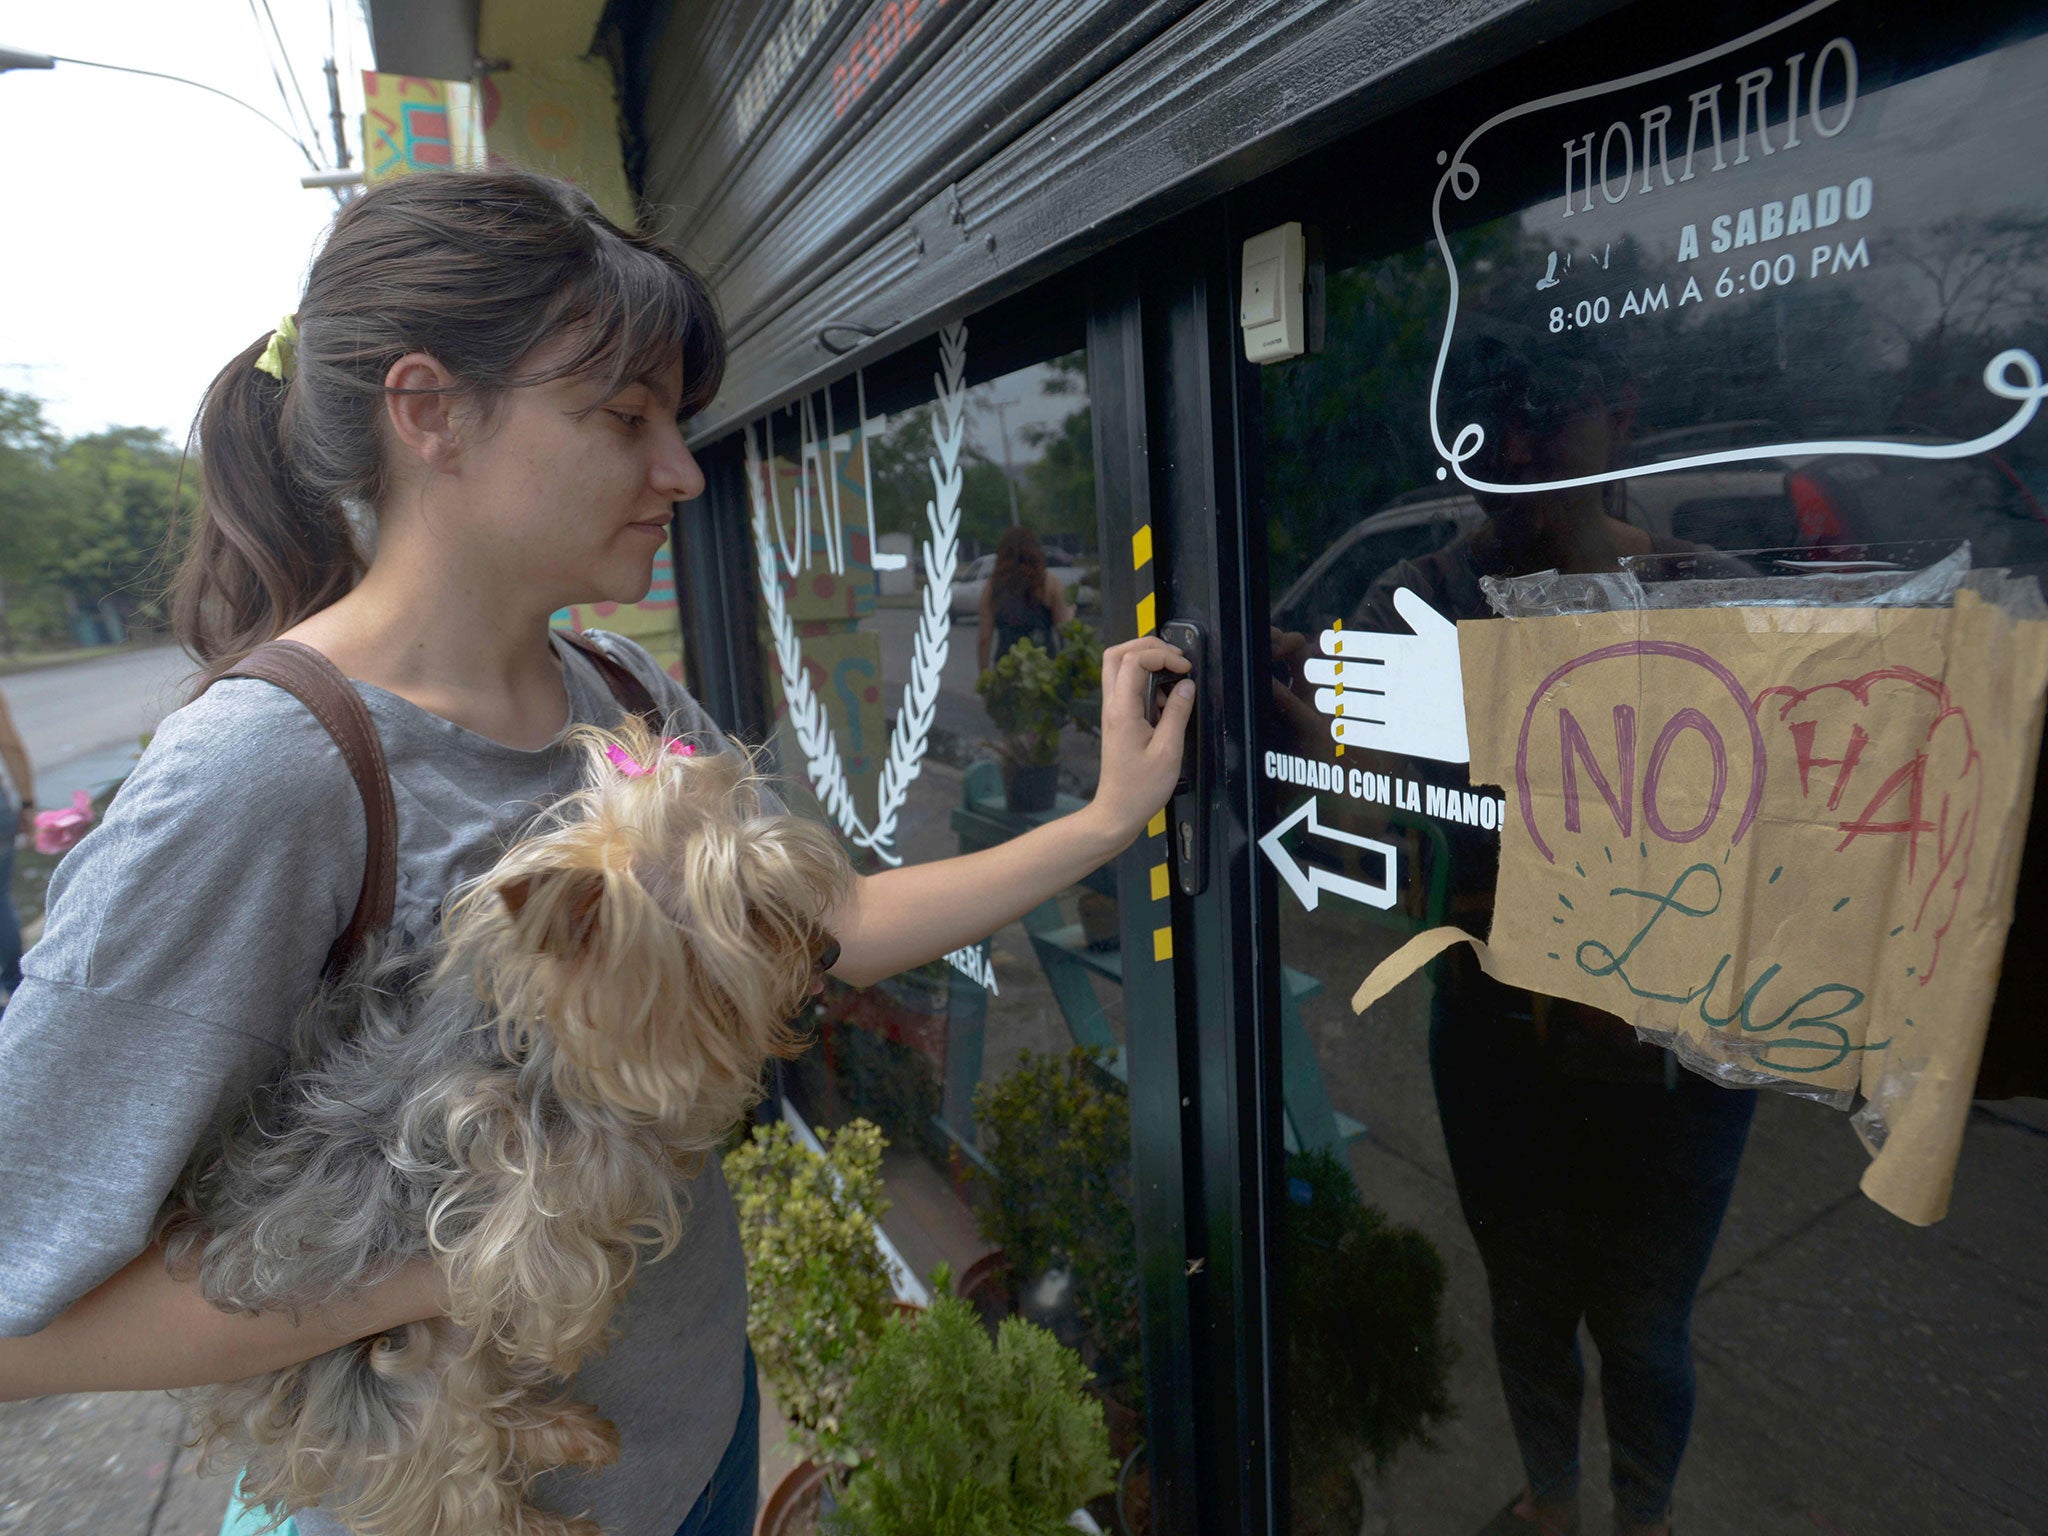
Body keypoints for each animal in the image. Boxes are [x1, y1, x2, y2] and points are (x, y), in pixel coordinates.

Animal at [157, 724, 847, 1536]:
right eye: (751, 916)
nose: (831, 952)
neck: (543, 1053)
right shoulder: (508, 1187)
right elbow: (555, 1266)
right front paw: (572, 1331)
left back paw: (569, 1433)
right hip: (392, 1392)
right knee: (460, 1480)